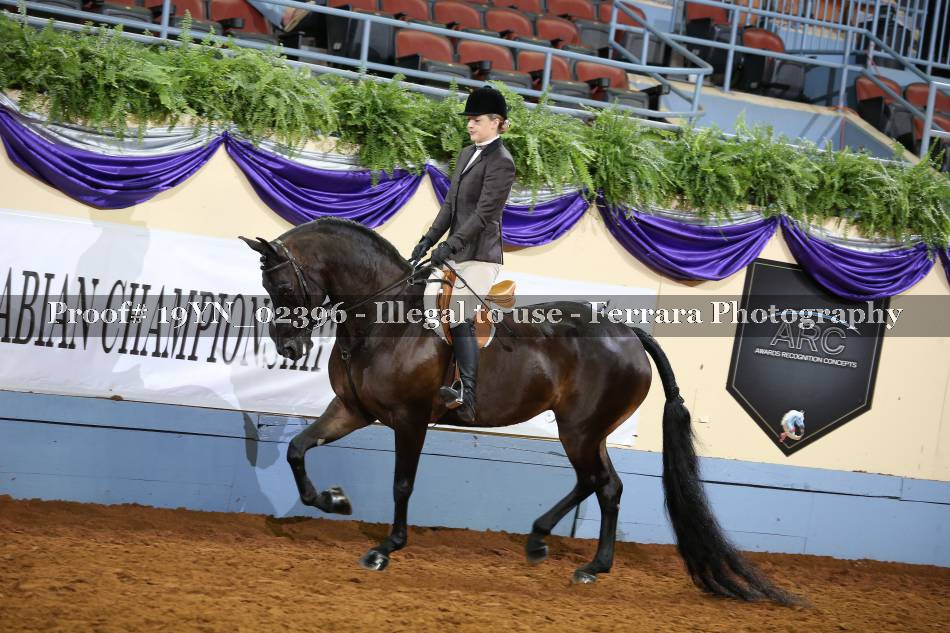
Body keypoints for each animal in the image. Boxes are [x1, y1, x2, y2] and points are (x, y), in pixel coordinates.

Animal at [240, 217, 794, 604]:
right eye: (268, 290)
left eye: (284, 288)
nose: (289, 350)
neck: (384, 322)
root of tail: (628, 333)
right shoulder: (354, 409)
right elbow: (298, 448)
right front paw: (332, 501)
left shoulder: (410, 420)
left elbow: (402, 484)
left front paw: (386, 549)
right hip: (589, 430)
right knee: (606, 486)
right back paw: (583, 562)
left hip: (579, 429)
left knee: (595, 481)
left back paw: (551, 545)